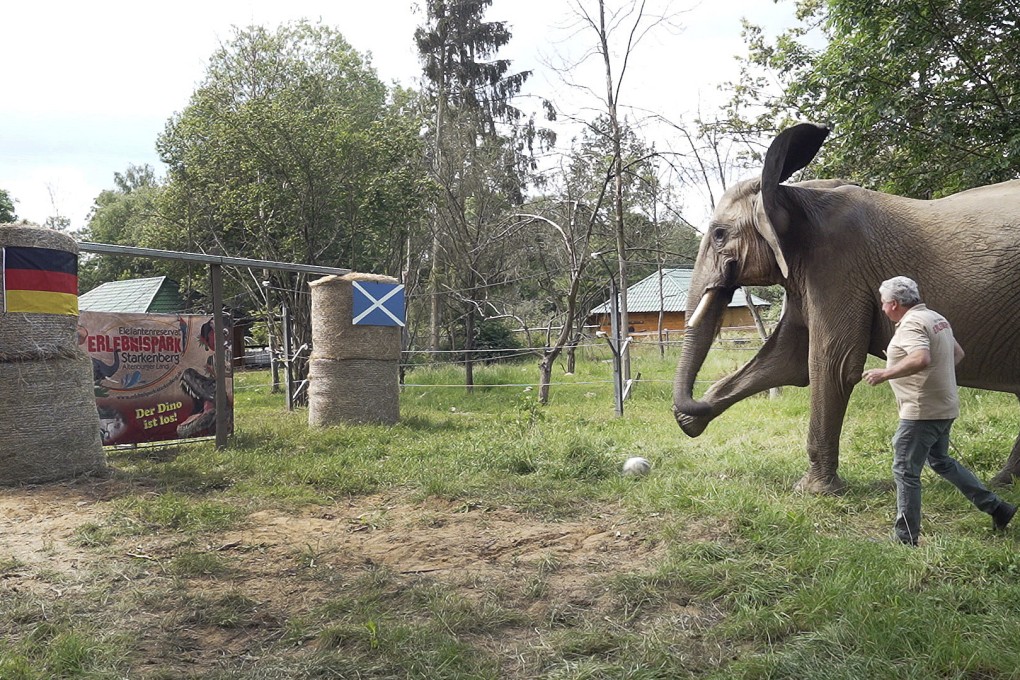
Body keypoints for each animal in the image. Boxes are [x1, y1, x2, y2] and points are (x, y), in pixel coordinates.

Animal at [672, 122, 1020, 494]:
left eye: (719, 234)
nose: (695, 403)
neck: (791, 193)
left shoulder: (836, 267)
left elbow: (830, 364)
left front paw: (813, 492)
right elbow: (787, 360)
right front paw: (693, 417)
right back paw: (1002, 481)